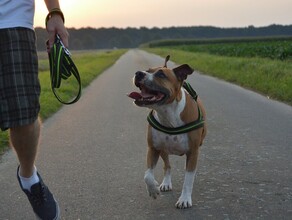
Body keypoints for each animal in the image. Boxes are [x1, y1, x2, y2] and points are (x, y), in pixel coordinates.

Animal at [128, 55, 208, 209]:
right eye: (147, 70)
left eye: (161, 74)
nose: (138, 73)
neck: (168, 114)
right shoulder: (153, 148)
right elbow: (147, 175)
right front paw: (153, 189)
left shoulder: (193, 152)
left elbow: (188, 179)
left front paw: (184, 199)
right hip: (163, 150)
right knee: (167, 166)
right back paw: (165, 183)